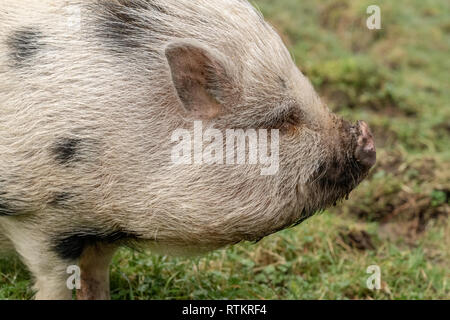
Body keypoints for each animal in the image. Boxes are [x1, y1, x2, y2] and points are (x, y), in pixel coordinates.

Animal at [0, 0, 376, 300]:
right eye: (284, 119)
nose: (367, 137)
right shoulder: (40, 218)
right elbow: (55, 282)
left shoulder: (100, 230)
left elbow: (95, 276)